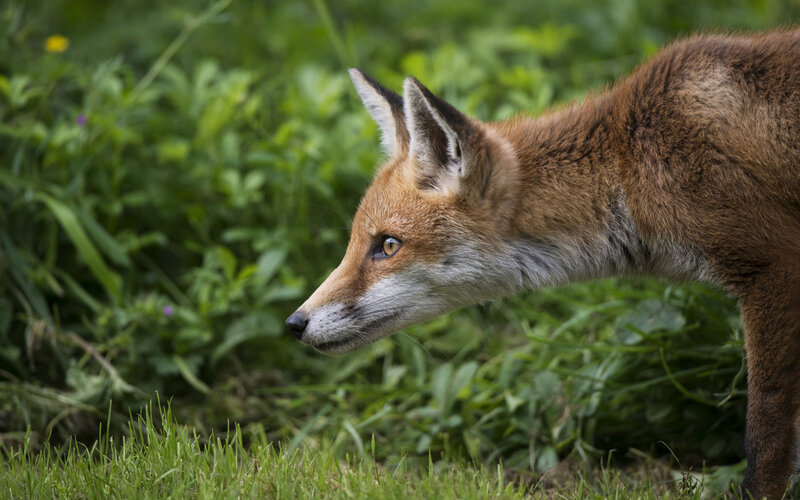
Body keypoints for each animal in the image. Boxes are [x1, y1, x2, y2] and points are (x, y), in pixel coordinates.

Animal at [285, 29, 800, 499]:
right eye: (356, 242)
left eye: (388, 246)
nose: (294, 323)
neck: (629, 162)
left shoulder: (772, 264)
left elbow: (765, 434)